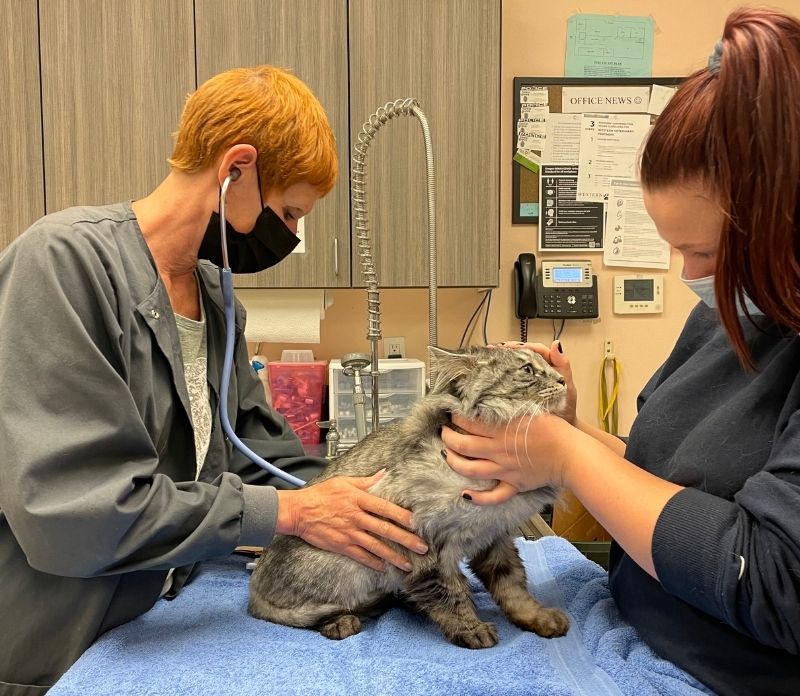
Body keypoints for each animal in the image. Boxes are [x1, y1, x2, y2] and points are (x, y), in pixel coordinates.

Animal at [248, 346, 568, 648]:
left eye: (548, 364)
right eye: (527, 369)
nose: (563, 379)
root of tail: (254, 590)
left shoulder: (494, 536)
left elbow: (512, 585)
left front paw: (538, 617)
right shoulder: (423, 546)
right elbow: (451, 594)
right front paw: (471, 628)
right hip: (350, 567)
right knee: (305, 614)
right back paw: (341, 621)